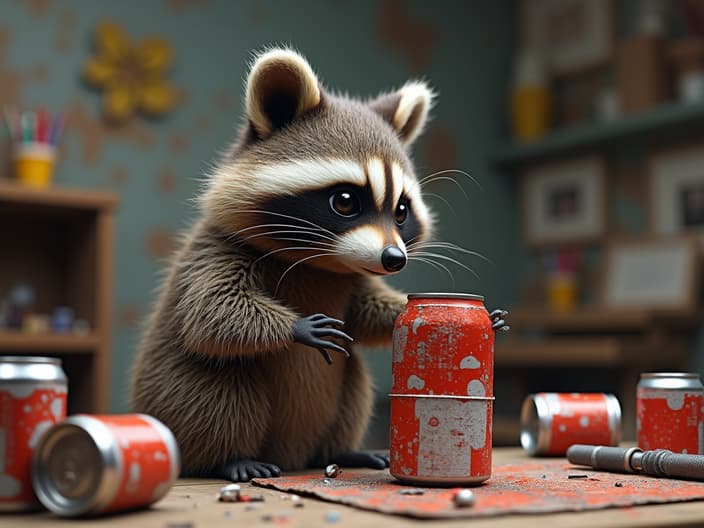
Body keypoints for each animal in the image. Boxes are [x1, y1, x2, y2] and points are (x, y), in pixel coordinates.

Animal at [129, 48, 506, 482]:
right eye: (345, 201)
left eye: (400, 211)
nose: (394, 259)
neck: (321, 264)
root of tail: (294, 455)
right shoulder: (215, 251)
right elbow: (212, 313)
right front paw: (297, 326)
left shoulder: (353, 280)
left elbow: (367, 316)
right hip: (179, 399)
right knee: (221, 390)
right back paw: (231, 457)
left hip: (337, 399)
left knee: (354, 385)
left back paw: (343, 450)